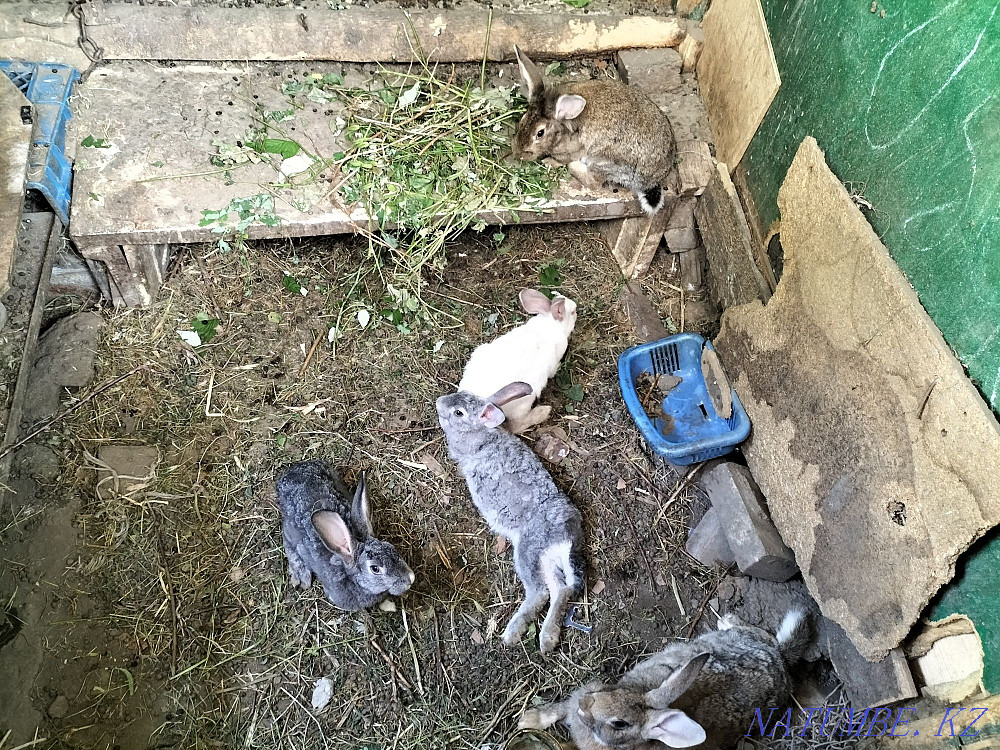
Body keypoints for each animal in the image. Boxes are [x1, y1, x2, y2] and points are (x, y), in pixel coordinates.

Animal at [436, 381, 586, 653]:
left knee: (540, 592)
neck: (482, 433)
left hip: (527, 551)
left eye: (458, 413)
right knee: (561, 589)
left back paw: (513, 633)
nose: (439, 403)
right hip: (545, 560)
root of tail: (567, 536)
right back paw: (548, 638)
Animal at [459, 288, 578, 434]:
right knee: (516, 425)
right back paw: (543, 412)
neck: (551, 323)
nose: (577, 309)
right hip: (524, 400)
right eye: (572, 312)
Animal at [511, 45, 678, 214]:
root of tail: (654, 179)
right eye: (522, 120)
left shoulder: (573, 150)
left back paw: (575, 166)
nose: (518, 153)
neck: (562, 129)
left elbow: (561, 160)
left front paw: (548, 162)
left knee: (595, 182)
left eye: (540, 133)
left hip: (605, 160)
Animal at [519, 609, 811, 749]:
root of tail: (778, 659)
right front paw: (528, 720)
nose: (584, 705)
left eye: (620, 723)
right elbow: (555, 711)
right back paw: (727, 620)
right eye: (614, 690)